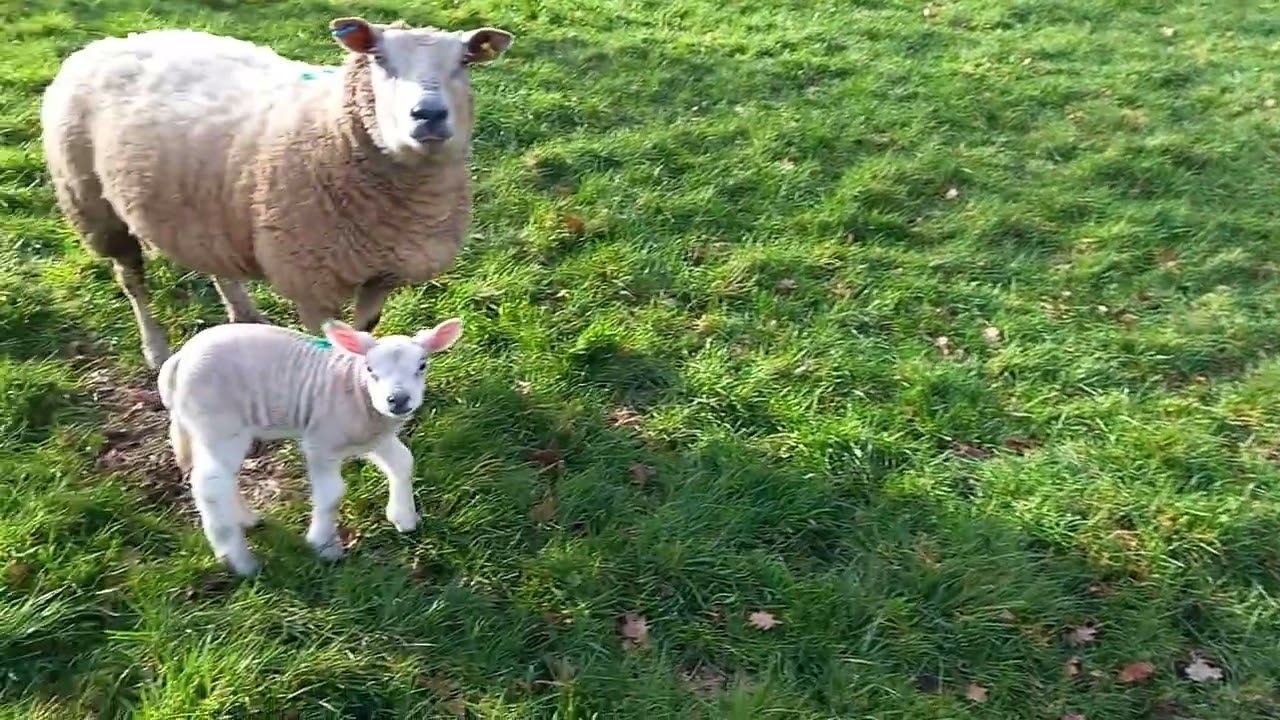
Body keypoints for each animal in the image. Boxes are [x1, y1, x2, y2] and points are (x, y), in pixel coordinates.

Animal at [40, 17, 513, 369]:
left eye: (464, 61)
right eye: (378, 58)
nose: (428, 115)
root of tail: (106, 43)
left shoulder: (383, 272)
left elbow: (366, 329)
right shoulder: (312, 280)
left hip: (208, 206)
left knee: (218, 266)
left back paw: (243, 315)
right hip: (94, 205)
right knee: (132, 280)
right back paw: (156, 349)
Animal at [156, 316, 464, 575]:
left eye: (422, 365)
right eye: (370, 369)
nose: (397, 400)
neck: (356, 390)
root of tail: (178, 360)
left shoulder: (372, 436)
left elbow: (403, 463)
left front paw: (404, 518)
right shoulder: (322, 441)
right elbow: (332, 494)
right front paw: (324, 546)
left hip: (212, 430)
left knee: (220, 479)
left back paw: (246, 520)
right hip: (219, 426)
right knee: (210, 486)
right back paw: (240, 562)